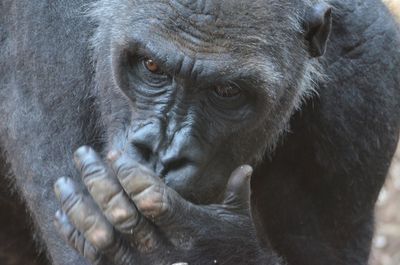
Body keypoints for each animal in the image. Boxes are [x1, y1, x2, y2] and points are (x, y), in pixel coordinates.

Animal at [0, 0, 400, 262]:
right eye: (151, 66)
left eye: (227, 91)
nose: (161, 153)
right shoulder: (49, 34)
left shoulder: (372, 75)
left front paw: (205, 246)